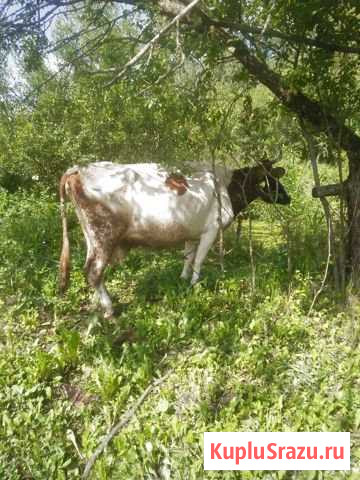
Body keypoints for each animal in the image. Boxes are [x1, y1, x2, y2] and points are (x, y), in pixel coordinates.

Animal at [58, 161, 290, 318]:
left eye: (274, 177)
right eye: (266, 180)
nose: (288, 197)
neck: (225, 187)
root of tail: (79, 168)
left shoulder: (192, 234)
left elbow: (188, 258)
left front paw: (183, 280)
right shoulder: (211, 230)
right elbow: (199, 260)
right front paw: (195, 284)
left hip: (91, 237)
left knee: (88, 269)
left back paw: (97, 303)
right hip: (104, 235)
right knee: (94, 271)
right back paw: (109, 308)